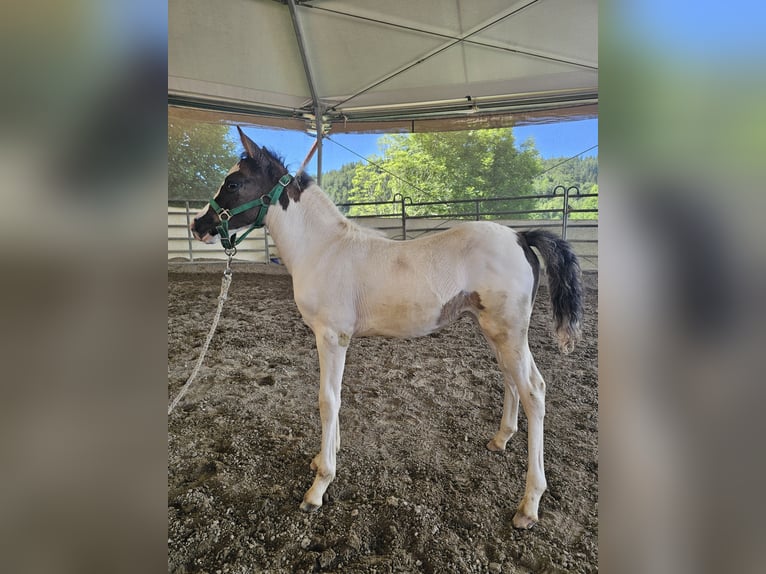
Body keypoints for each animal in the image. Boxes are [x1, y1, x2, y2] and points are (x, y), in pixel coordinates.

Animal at [190, 127, 583, 529]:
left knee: (534, 390)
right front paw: (324, 458)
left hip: (508, 332)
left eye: (234, 183)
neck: (323, 249)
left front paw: (319, 487)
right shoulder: (336, 339)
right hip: (498, 332)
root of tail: (521, 237)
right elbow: (336, 396)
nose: (198, 225)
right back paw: (500, 440)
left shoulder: (331, 336)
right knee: (511, 379)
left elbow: (327, 400)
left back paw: (529, 505)